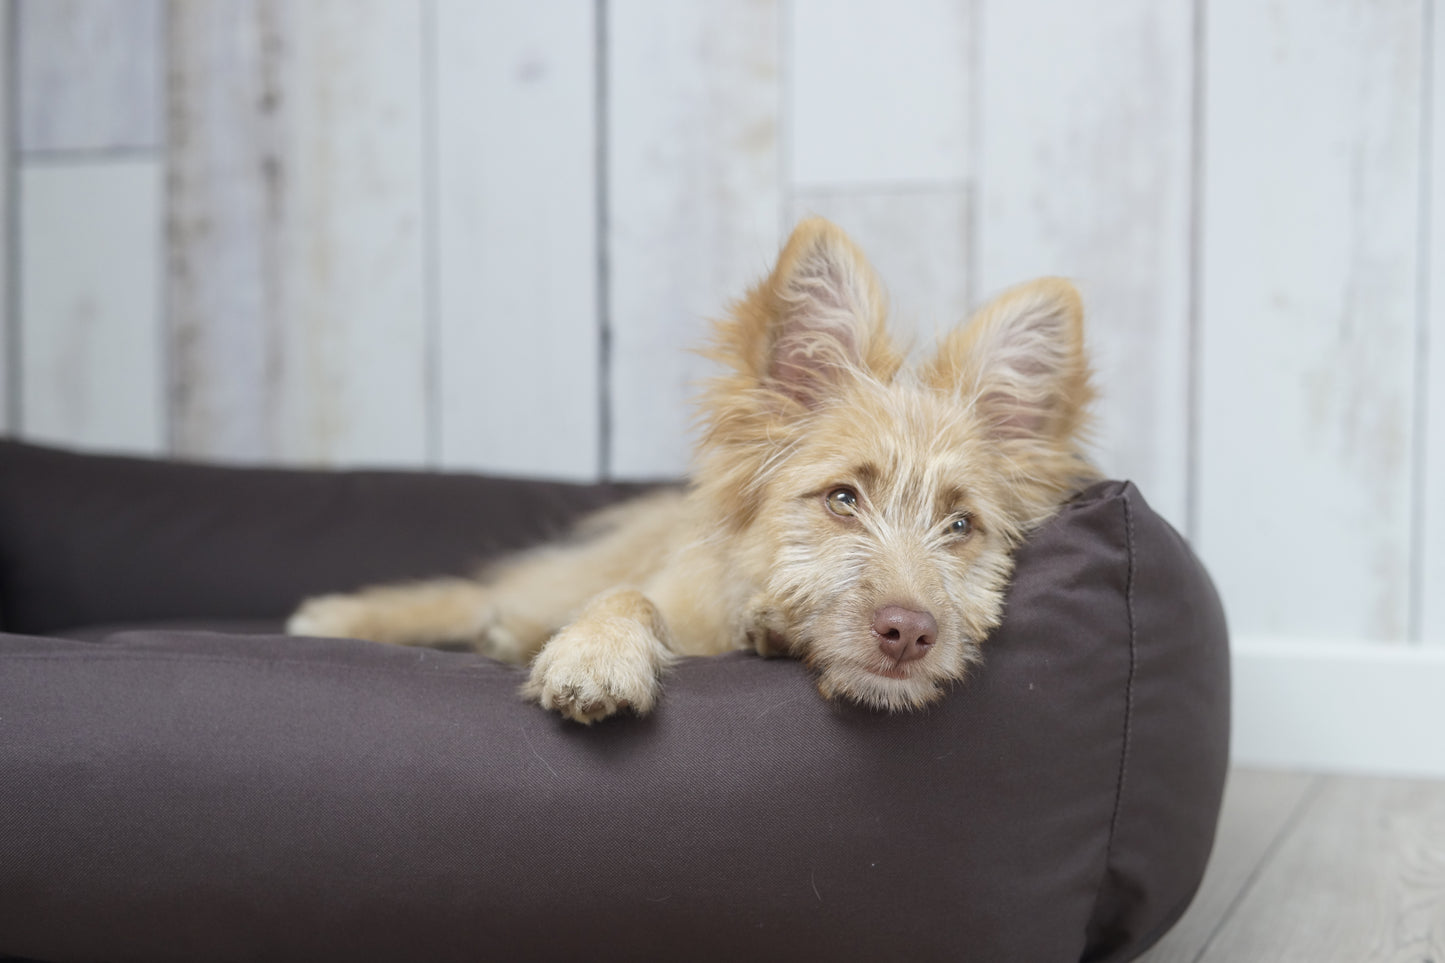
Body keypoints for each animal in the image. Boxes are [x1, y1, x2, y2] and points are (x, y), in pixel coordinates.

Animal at [287, 214, 1086, 717]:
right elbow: (628, 597)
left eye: (961, 525)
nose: (910, 633)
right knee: (489, 590)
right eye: (842, 498)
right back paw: (348, 614)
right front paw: (597, 652)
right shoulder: (670, 589)